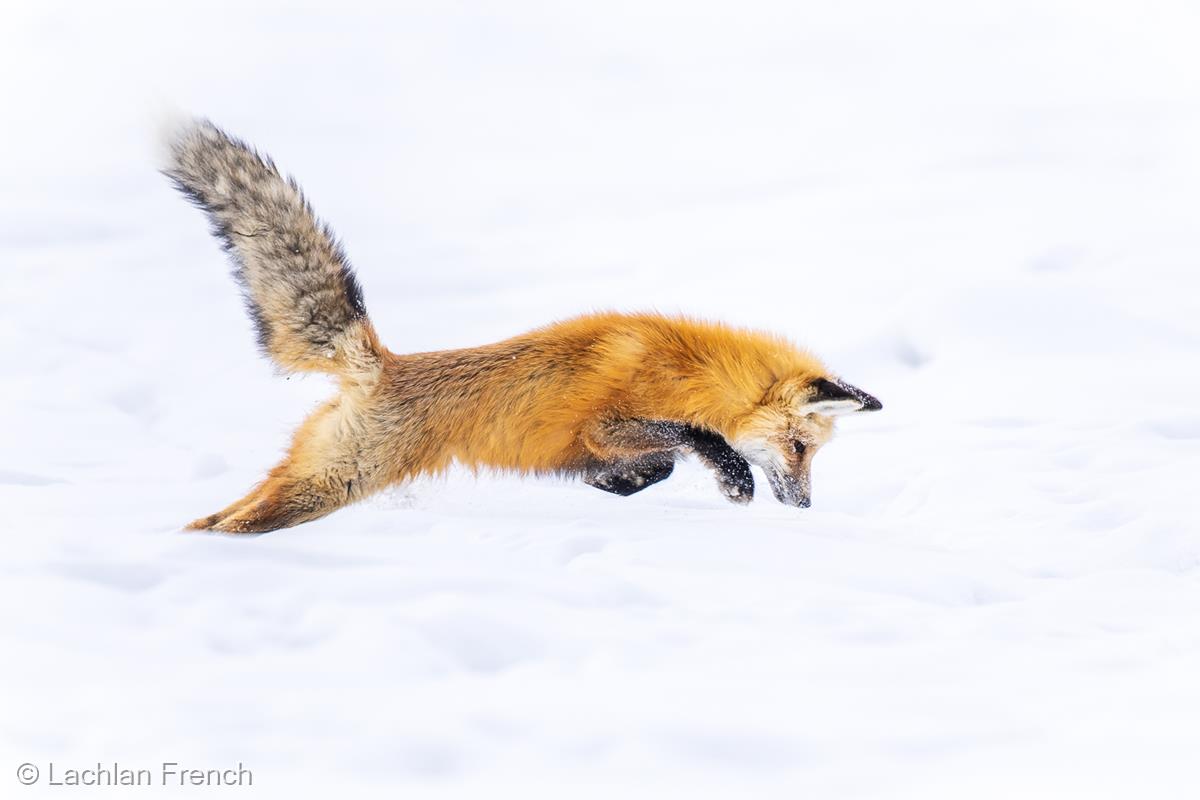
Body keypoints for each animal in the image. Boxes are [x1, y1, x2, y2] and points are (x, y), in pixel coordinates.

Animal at [164, 119, 881, 533]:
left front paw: (617, 485)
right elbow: (696, 439)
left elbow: (657, 466)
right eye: (801, 449)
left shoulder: (609, 442)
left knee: (220, 514)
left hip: (310, 472)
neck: (692, 371)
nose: (806, 510)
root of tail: (381, 362)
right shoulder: (608, 423)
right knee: (235, 524)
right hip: (332, 485)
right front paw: (734, 479)